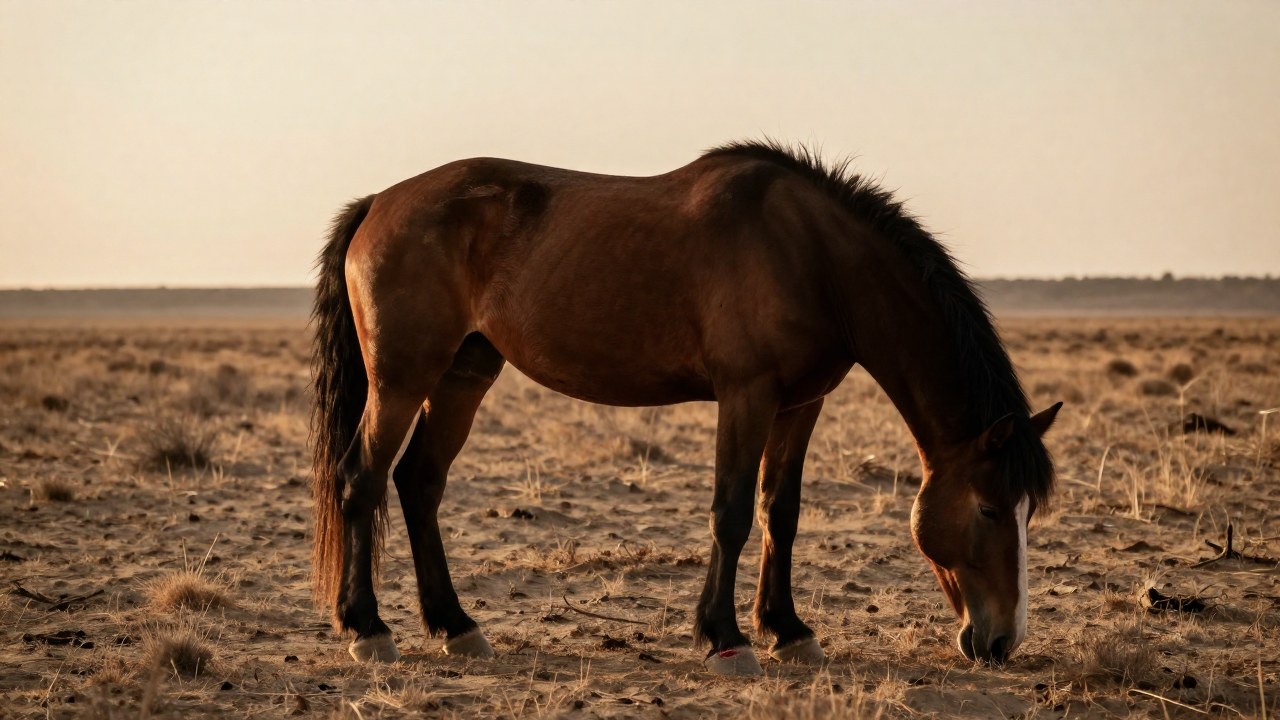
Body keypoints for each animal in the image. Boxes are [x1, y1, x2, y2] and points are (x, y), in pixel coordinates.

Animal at [310, 140, 1061, 675]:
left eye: (1027, 510)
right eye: (989, 509)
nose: (1002, 641)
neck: (812, 257)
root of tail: (378, 204)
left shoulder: (801, 404)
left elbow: (780, 514)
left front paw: (788, 630)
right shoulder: (745, 395)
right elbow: (731, 514)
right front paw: (726, 638)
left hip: (464, 374)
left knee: (419, 482)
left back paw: (456, 627)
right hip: (401, 379)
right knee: (362, 480)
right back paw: (368, 630)